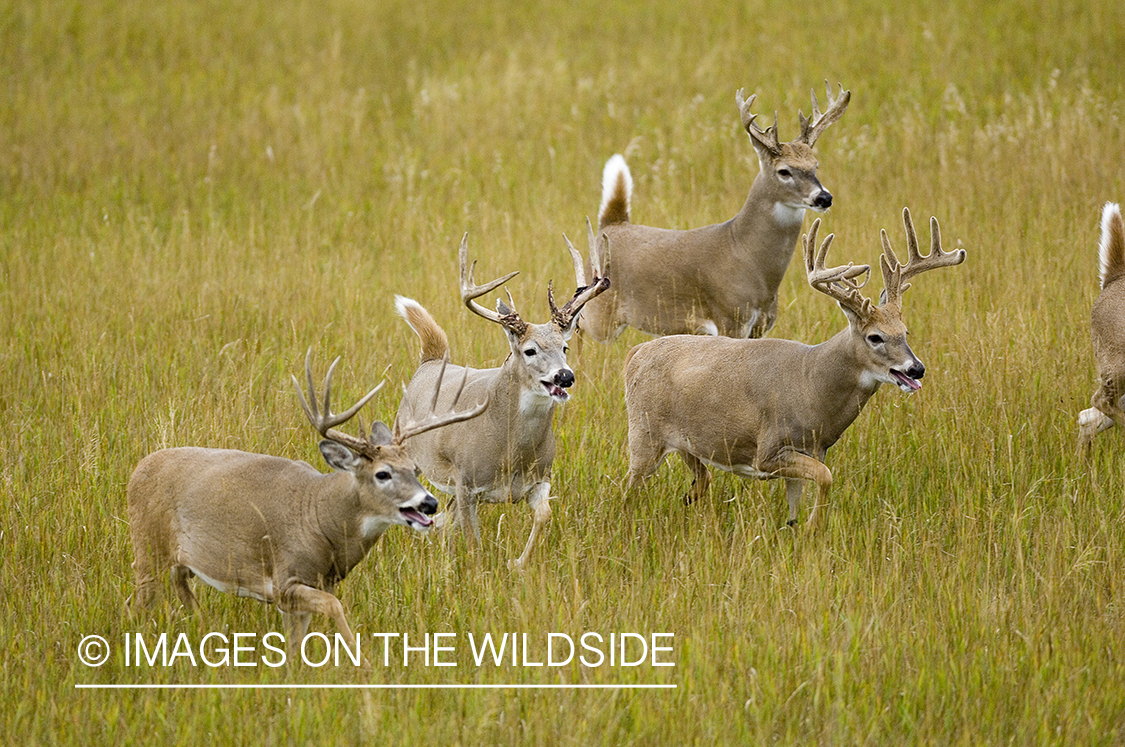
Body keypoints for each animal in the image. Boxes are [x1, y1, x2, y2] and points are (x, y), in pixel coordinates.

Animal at [128, 351, 488, 652]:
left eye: (414, 468)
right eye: (382, 474)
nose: (429, 503)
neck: (320, 515)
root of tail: (137, 469)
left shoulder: (313, 585)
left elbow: (295, 643)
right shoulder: (286, 581)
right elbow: (333, 606)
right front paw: (362, 661)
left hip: (180, 559)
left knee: (179, 584)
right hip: (146, 546)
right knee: (139, 600)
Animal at [393, 236, 607, 569]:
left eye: (565, 347)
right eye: (530, 350)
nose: (565, 376)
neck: (509, 452)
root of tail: (430, 361)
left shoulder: (541, 477)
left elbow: (544, 515)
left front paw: (516, 564)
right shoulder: (466, 482)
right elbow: (473, 540)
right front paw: (479, 571)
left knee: (444, 519)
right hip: (404, 446)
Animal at [576, 82, 846, 342]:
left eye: (815, 165)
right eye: (784, 171)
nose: (824, 197)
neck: (745, 253)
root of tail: (611, 223)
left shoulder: (761, 325)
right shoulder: (729, 317)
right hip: (600, 315)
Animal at [621, 207, 963, 528]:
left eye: (905, 332)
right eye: (874, 337)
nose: (916, 368)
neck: (811, 386)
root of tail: (635, 353)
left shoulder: (814, 450)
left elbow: (798, 502)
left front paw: (797, 528)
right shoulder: (769, 450)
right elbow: (826, 476)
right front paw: (815, 525)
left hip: (685, 441)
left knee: (700, 476)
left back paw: (687, 498)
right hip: (644, 432)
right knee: (628, 491)